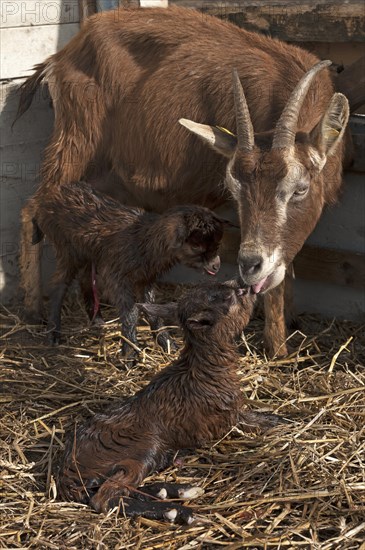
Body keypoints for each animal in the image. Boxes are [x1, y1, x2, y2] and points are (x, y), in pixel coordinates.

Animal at [32, 181, 225, 358]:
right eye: (197, 245)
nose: (216, 265)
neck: (143, 240)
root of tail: (47, 196)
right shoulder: (116, 276)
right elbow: (130, 312)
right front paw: (130, 352)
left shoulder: (145, 278)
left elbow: (151, 310)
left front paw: (167, 344)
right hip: (66, 247)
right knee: (59, 284)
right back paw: (53, 333)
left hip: (89, 253)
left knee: (86, 279)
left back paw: (97, 321)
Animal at [57, 282, 282, 524]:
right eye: (224, 298)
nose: (246, 287)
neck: (205, 369)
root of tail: (66, 472)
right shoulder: (225, 419)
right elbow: (258, 421)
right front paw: (283, 421)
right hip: (141, 448)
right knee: (105, 497)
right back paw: (178, 511)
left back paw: (179, 491)